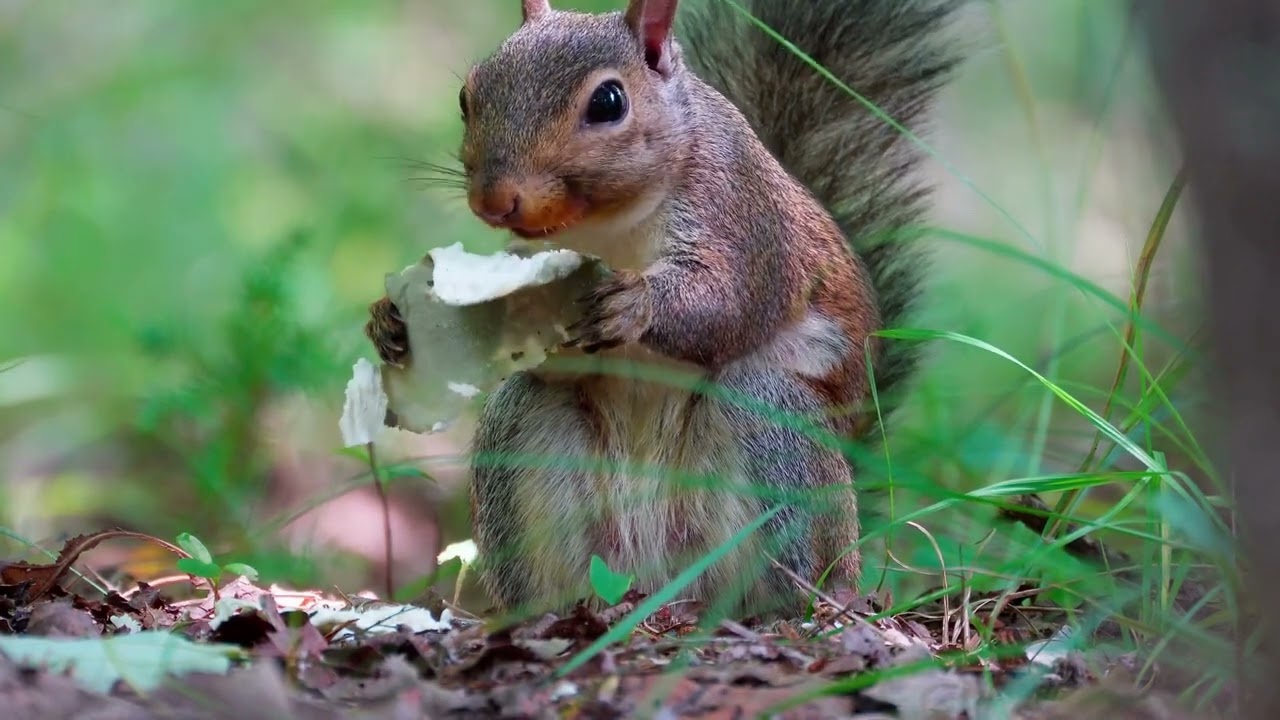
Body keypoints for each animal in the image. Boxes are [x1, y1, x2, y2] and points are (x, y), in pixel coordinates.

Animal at [366, 0, 966, 617]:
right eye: (467, 95)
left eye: (609, 102)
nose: (494, 200)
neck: (607, 225)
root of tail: (659, 579)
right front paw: (393, 321)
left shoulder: (747, 222)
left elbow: (730, 305)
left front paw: (635, 303)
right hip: (527, 449)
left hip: (774, 430)